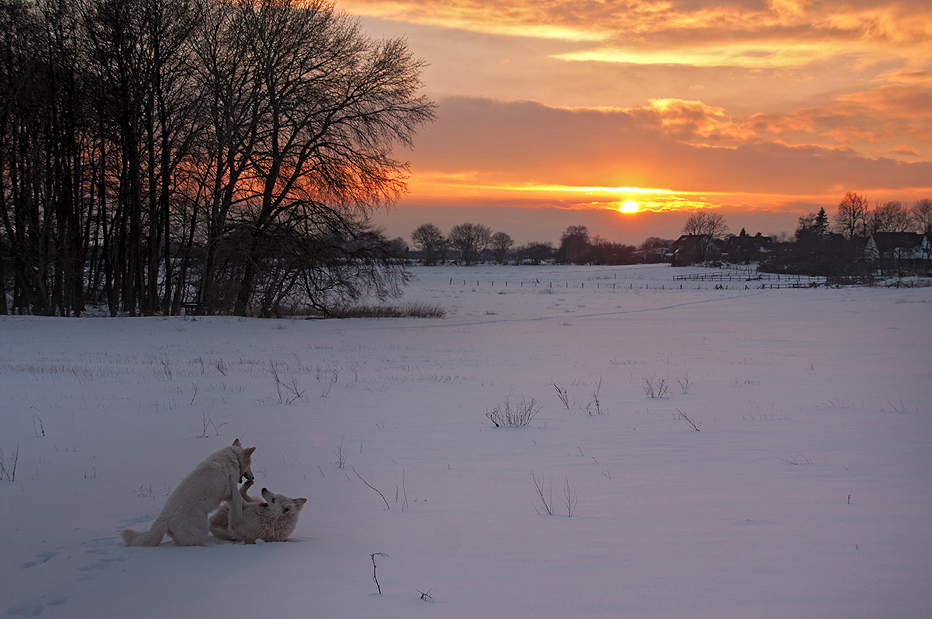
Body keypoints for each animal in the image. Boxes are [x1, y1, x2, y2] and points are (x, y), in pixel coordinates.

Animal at [123, 436, 258, 548]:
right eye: (250, 465)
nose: (253, 477)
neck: (234, 457)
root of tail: (164, 518)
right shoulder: (233, 493)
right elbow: (239, 504)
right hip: (201, 528)